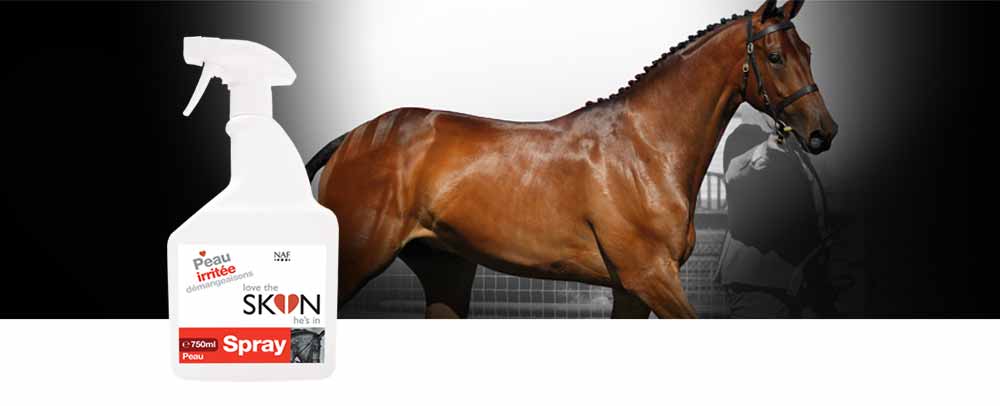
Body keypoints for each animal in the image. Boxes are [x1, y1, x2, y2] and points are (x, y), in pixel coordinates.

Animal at [307, 0, 837, 319]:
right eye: (774, 56)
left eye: (809, 51)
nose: (823, 132)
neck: (646, 149)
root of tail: (354, 138)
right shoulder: (651, 277)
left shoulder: (629, 290)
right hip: (358, 259)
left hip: (446, 270)